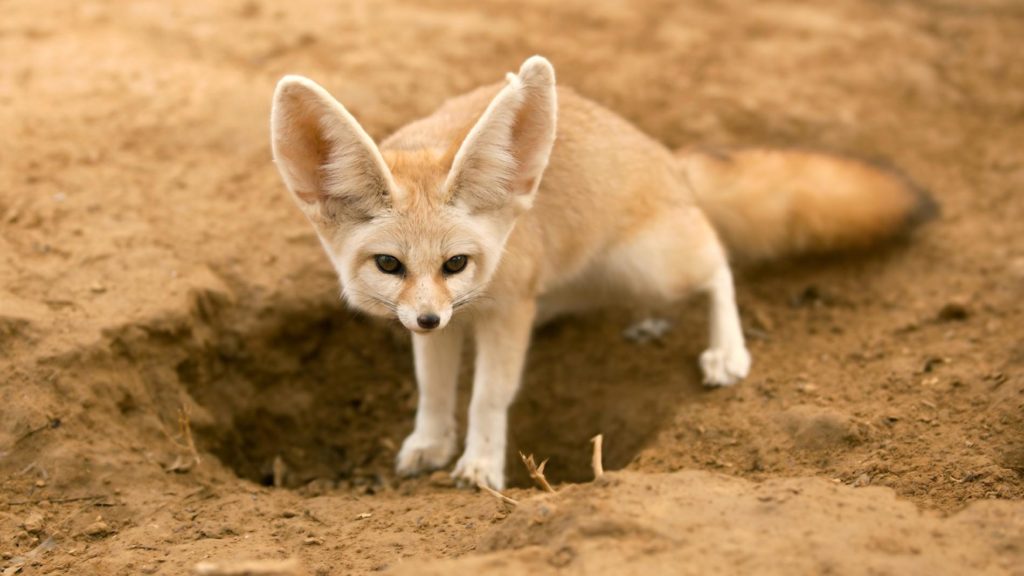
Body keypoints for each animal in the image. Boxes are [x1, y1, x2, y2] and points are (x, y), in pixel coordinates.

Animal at [270, 56, 934, 490]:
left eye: (456, 263)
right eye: (389, 264)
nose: (430, 317)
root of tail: (669, 160)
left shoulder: (507, 311)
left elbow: (488, 395)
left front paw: (481, 464)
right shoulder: (448, 323)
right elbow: (433, 389)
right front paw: (430, 443)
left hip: (652, 263)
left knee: (718, 261)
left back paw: (727, 350)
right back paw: (649, 322)